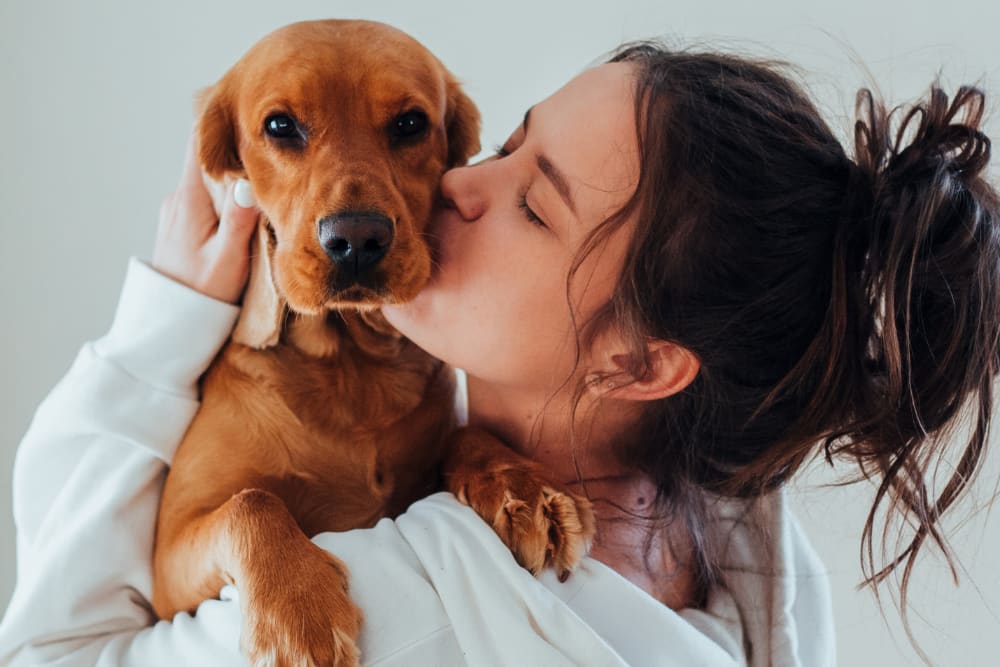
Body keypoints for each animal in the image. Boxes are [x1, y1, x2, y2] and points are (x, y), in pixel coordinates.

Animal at [153, 18, 596, 664]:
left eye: (410, 123)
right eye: (280, 126)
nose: (356, 239)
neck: (350, 366)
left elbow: (464, 432)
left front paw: (521, 482)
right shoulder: (166, 569)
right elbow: (252, 502)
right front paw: (297, 613)